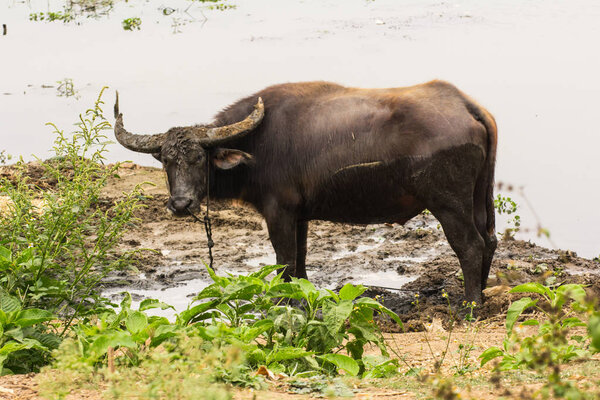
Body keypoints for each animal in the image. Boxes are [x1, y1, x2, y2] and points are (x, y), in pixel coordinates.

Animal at [112, 79, 496, 302]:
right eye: (166, 160)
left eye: (197, 158)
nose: (180, 203)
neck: (256, 145)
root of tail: (467, 106)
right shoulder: (300, 216)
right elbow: (300, 261)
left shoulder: (278, 212)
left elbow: (284, 262)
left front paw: (283, 303)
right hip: (481, 194)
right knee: (489, 239)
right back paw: (482, 292)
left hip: (448, 203)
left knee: (470, 245)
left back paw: (470, 305)